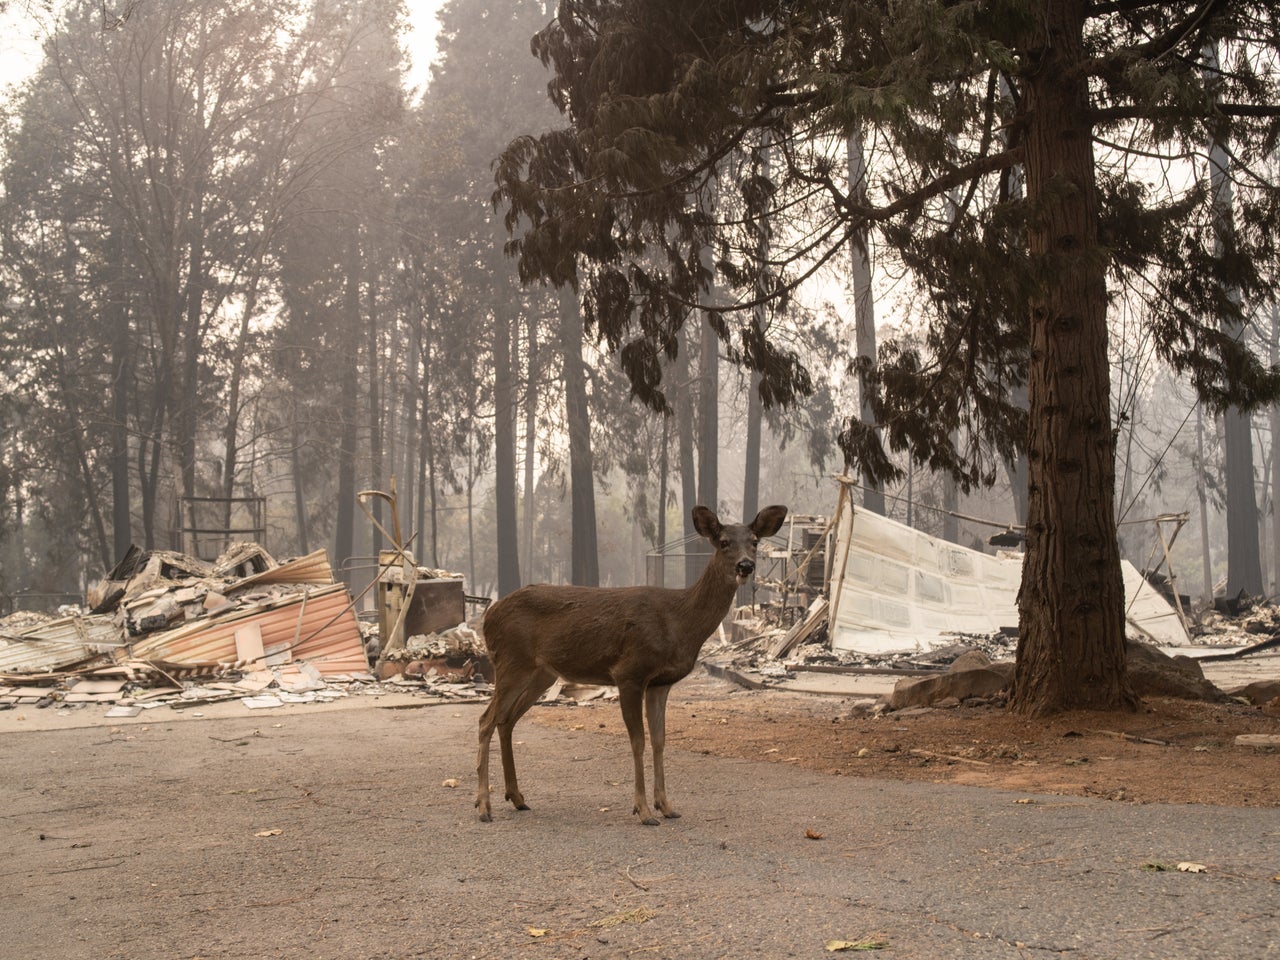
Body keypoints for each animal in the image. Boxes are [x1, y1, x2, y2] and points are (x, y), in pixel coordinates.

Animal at [476, 504, 783, 829]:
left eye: (755, 541)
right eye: (723, 542)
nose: (746, 566)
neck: (679, 621)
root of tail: (488, 615)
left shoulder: (661, 682)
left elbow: (660, 740)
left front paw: (666, 806)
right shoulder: (630, 672)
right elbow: (638, 741)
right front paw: (644, 810)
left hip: (541, 673)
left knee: (506, 720)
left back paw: (517, 797)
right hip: (511, 660)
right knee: (486, 720)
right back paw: (484, 806)